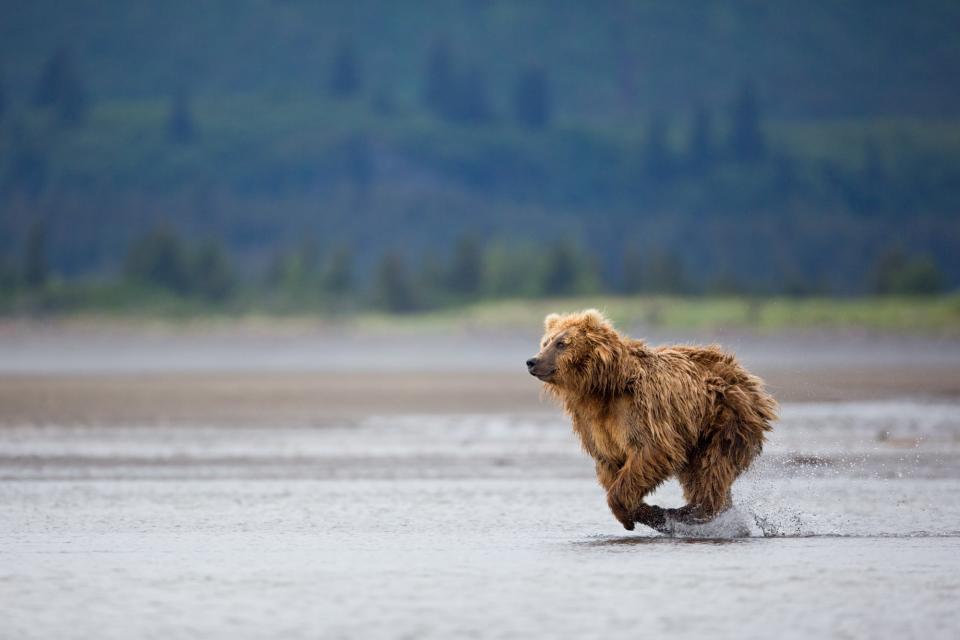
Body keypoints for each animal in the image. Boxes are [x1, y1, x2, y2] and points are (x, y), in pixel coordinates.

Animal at [528, 308, 776, 528]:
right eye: (545, 342)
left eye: (562, 343)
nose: (532, 361)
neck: (603, 389)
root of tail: (746, 376)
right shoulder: (594, 424)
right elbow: (609, 461)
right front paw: (638, 511)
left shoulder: (642, 411)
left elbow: (651, 451)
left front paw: (641, 512)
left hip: (725, 419)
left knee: (711, 468)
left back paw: (687, 512)